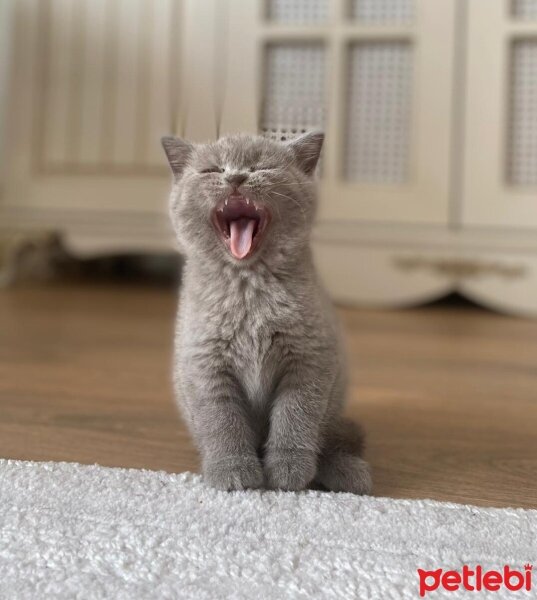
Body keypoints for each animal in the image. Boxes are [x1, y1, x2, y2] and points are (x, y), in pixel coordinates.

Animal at [161, 131, 370, 492]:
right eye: (212, 170)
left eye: (262, 167)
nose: (235, 177)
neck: (249, 289)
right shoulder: (205, 365)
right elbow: (222, 422)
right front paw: (233, 471)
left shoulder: (310, 360)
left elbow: (296, 417)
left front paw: (288, 471)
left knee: (330, 438)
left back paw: (348, 472)